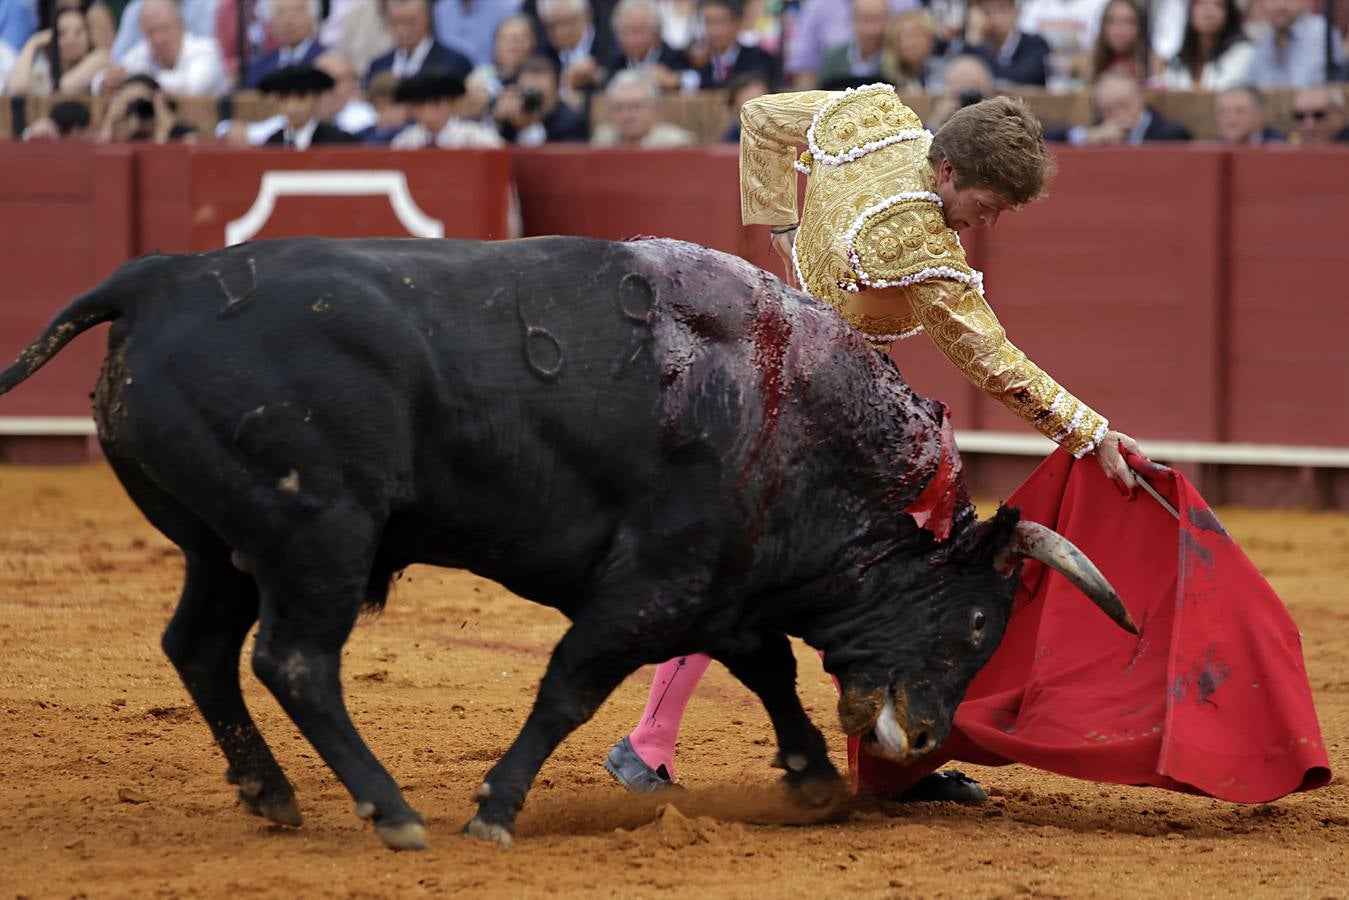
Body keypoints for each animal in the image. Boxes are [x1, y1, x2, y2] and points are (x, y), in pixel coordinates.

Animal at [0, 236, 1133, 847]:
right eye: (976, 625)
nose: (928, 738)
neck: (794, 411)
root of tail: (156, 278)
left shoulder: (714, 585)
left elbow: (763, 667)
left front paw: (811, 775)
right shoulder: (649, 585)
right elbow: (569, 686)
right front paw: (495, 808)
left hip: (223, 547)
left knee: (198, 647)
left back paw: (272, 794)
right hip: (314, 533)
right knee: (295, 661)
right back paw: (389, 809)